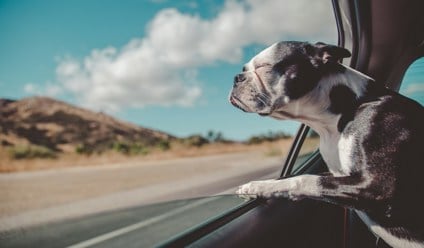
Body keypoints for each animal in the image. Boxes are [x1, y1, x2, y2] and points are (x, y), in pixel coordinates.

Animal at [230, 41, 424, 247]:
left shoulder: (377, 186)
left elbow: (305, 179)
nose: (237, 77)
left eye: (264, 67)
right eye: (244, 69)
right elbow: (289, 178)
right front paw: (257, 187)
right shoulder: (338, 174)